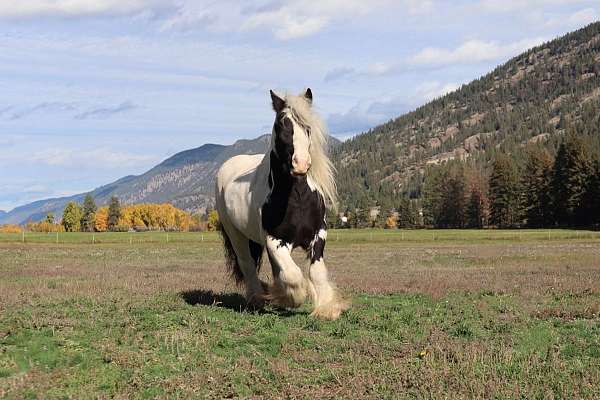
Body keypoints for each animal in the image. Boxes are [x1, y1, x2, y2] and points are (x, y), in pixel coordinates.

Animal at [216, 89, 350, 320]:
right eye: (281, 124)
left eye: (307, 127)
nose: (301, 163)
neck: (297, 198)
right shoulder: (274, 240)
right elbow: (293, 274)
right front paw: (291, 298)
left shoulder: (319, 234)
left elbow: (315, 272)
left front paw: (326, 308)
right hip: (236, 235)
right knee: (247, 264)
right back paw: (257, 300)